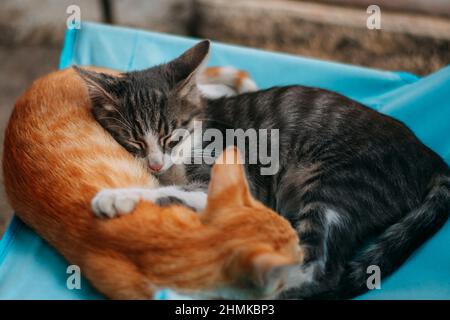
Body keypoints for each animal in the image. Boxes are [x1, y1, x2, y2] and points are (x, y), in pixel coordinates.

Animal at [77, 40, 450, 300]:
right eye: (133, 141)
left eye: (172, 135)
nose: (156, 163)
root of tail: (428, 155)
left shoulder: (231, 179)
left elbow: (173, 190)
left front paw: (116, 197)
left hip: (341, 183)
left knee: (323, 266)